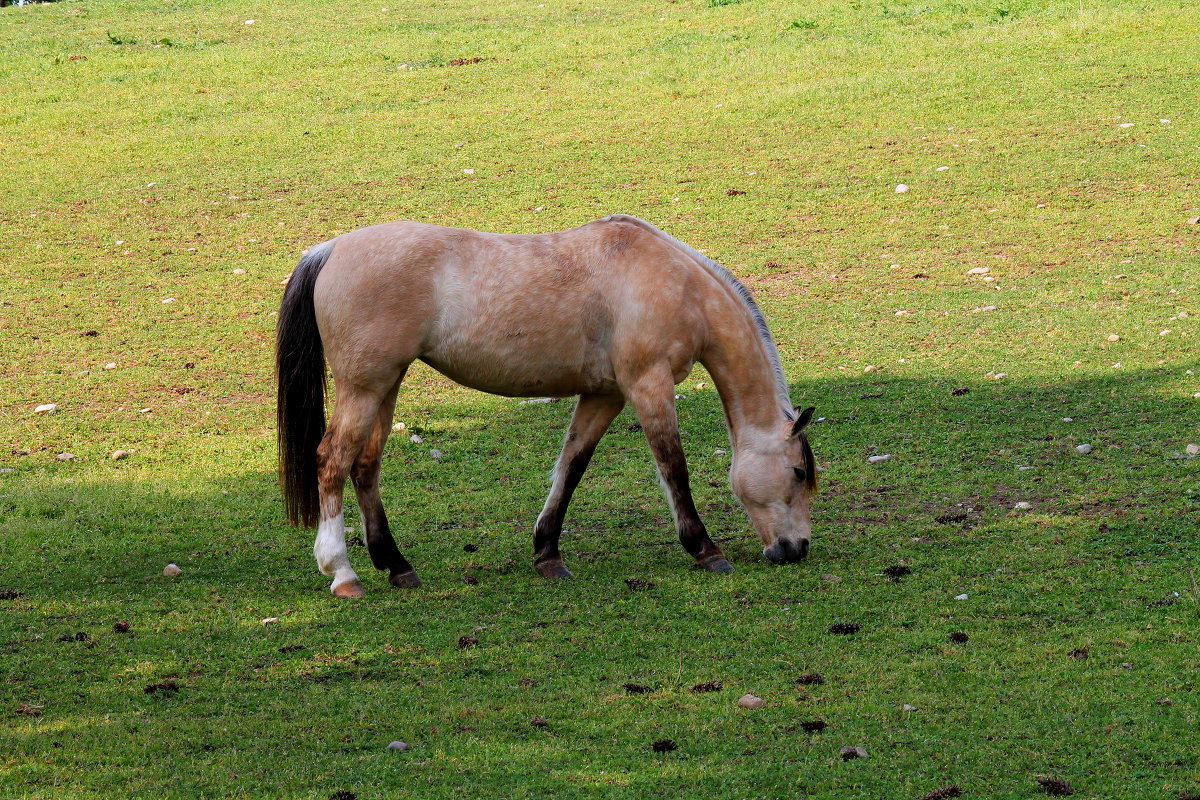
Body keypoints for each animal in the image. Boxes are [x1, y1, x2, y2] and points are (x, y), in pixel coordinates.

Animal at [274, 215, 816, 597]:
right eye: (796, 473)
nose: (797, 550)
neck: (678, 284)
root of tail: (330, 249)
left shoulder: (605, 394)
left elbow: (571, 466)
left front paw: (548, 554)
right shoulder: (648, 385)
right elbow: (673, 468)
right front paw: (706, 550)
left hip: (385, 385)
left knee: (365, 466)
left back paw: (397, 565)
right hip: (364, 388)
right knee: (332, 462)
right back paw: (343, 574)